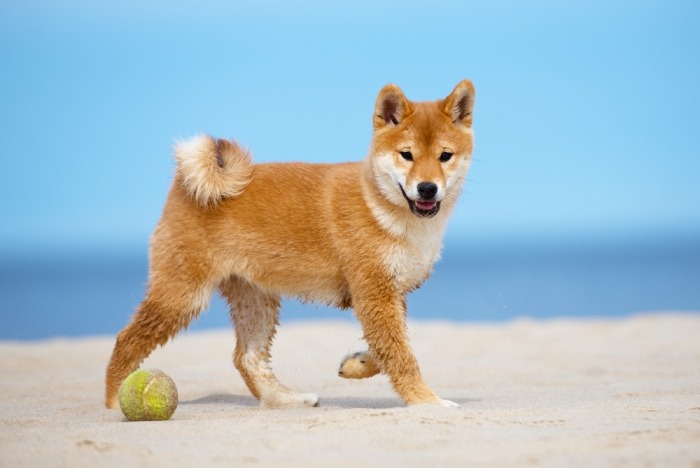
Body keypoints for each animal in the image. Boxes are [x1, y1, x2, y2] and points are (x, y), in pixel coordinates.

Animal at [105, 81, 476, 410]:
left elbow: (386, 350)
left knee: (247, 358)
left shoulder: (388, 293)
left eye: (445, 156)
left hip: (255, 297)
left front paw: (356, 364)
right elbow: (401, 357)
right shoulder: (374, 292)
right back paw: (113, 400)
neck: (382, 204)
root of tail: (184, 186)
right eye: (406, 155)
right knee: (127, 339)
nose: (427, 188)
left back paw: (285, 399)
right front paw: (427, 401)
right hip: (183, 295)